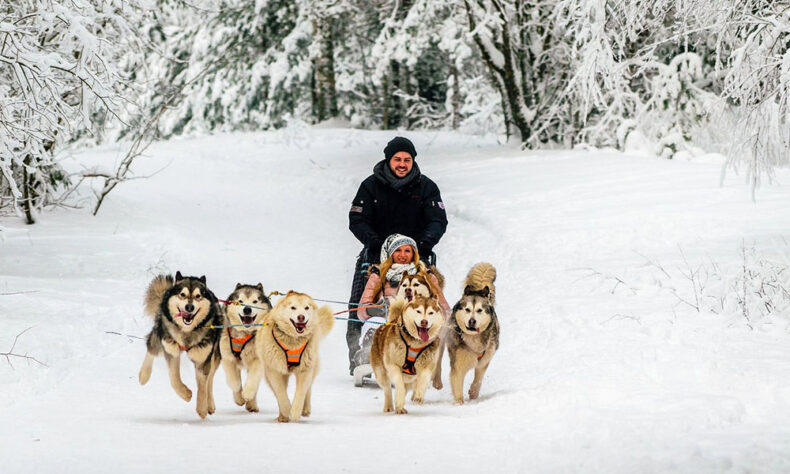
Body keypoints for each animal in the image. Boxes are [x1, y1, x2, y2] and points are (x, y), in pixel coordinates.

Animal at [139, 270, 223, 418]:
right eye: (182, 294)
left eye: (198, 296)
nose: (189, 307)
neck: (187, 333)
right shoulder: (171, 351)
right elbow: (174, 379)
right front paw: (186, 394)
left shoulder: (203, 358)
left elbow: (203, 385)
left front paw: (202, 408)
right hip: (161, 337)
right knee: (151, 348)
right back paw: (144, 375)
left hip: (214, 356)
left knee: (210, 380)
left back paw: (209, 404)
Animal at [220, 284, 272, 412]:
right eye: (240, 301)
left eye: (255, 301)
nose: (247, 309)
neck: (244, 334)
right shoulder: (227, 357)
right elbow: (233, 380)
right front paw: (239, 396)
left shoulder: (258, 360)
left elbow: (253, 378)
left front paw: (247, 394)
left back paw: (251, 404)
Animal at [256, 290, 334, 424]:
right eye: (293, 307)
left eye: (306, 308)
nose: (301, 317)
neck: (292, 342)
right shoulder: (274, 371)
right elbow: (281, 393)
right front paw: (287, 410)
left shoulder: (305, 369)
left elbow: (301, 392)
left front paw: (296, 411)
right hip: (270, 374)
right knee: (278, 392)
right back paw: (282, 416)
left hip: (312, 365)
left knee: (308, 388)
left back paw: (305, 409)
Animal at [448, 262, 498, 404]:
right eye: (467, 309)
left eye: (479, 310)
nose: (472, 321)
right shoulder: (458, 363)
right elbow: (457, 383)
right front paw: (459, 403)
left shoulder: (484, 361)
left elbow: (478, 379)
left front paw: (473, 392)